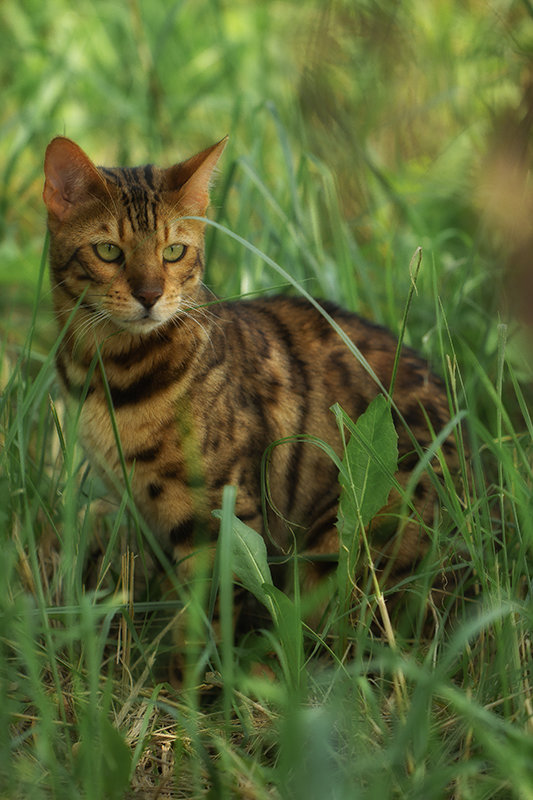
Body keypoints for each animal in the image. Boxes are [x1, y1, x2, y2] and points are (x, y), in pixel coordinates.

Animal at [42, 134, 458, 608]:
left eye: (173, 252)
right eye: (108, 250)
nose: (150, 295)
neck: (106, 373)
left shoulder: (218, 513)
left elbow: (204, 615)